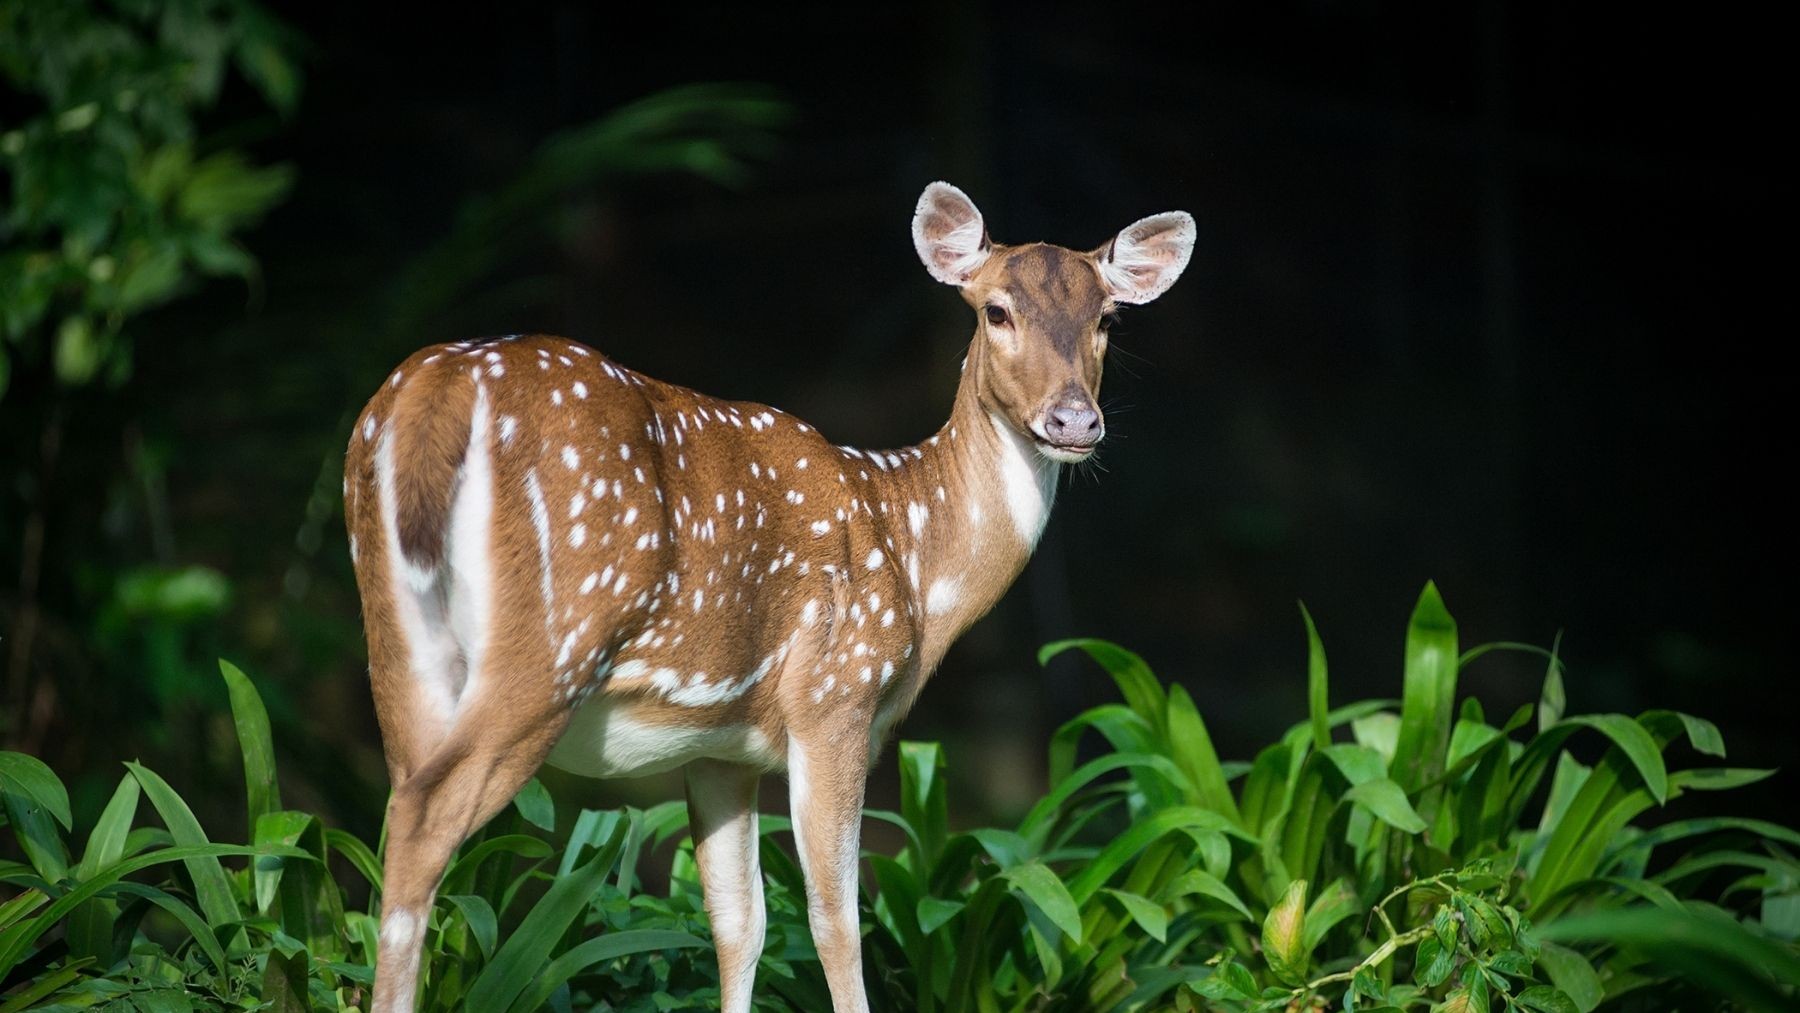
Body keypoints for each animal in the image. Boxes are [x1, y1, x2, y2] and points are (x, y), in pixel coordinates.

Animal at [342, 182, 1194, 1012]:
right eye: (995, 310)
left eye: (1108, 319)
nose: (1074, 419)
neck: (916, 556)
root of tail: (429, 396)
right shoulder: (834, 697)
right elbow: (834, 922)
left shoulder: (719, 747)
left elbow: (738, 923)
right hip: (551, 638)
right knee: (422, 826)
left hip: (398, 643)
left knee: (392, 820)